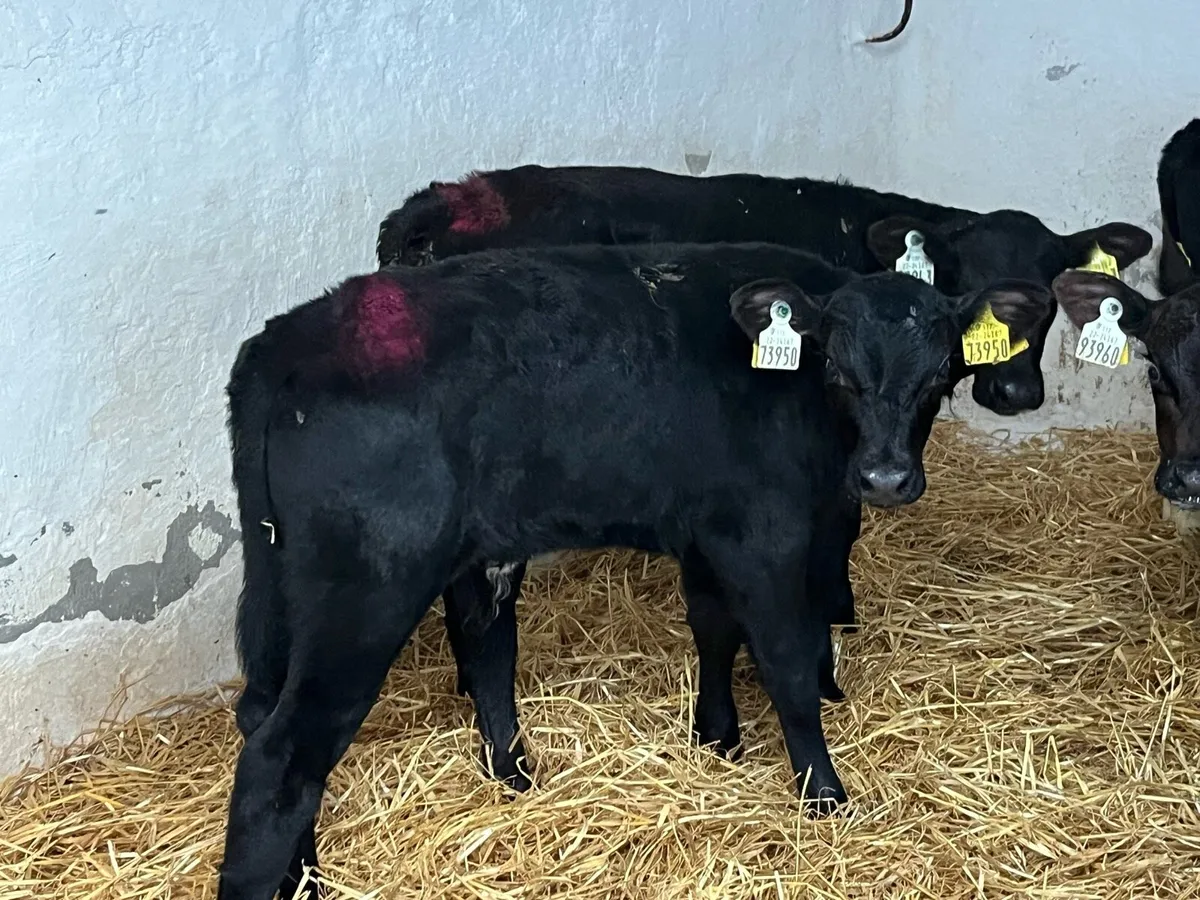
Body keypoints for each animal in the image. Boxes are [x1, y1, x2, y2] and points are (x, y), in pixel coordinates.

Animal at [220, 241, 1050, 900]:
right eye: (839, 372)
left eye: (940, 373)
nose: (884, 478)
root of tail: (288, 337)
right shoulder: (764, 534)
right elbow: (787, 662)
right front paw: (823, 796)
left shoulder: (710, 530)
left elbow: (713, 630)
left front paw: (716, 739)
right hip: (366, 588)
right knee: (282, 756)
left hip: (289, 573)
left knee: (279, 707)